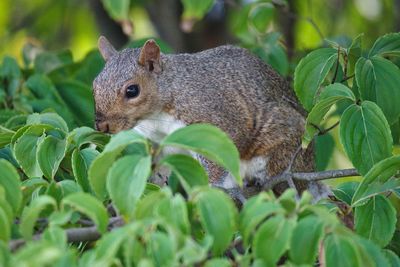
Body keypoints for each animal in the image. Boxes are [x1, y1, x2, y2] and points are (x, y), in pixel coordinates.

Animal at [93, 36, 328, 202]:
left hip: (285, 152)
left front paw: (210, 188)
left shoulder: (216, 117)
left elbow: (220, 155)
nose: (102, 125)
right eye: (94, 85)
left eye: (132, 90)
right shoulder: (161, 143)